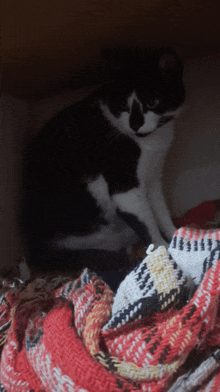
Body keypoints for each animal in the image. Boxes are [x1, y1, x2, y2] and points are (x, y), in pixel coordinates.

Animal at [20, 46, 186, 272]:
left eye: (152, 102)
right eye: (123, 104)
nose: (134, 124)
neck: (151, 142)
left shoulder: (153, 176)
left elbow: (161, 210)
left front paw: (175, 233)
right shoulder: (124, 186)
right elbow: (147, 222)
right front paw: (164, 250)